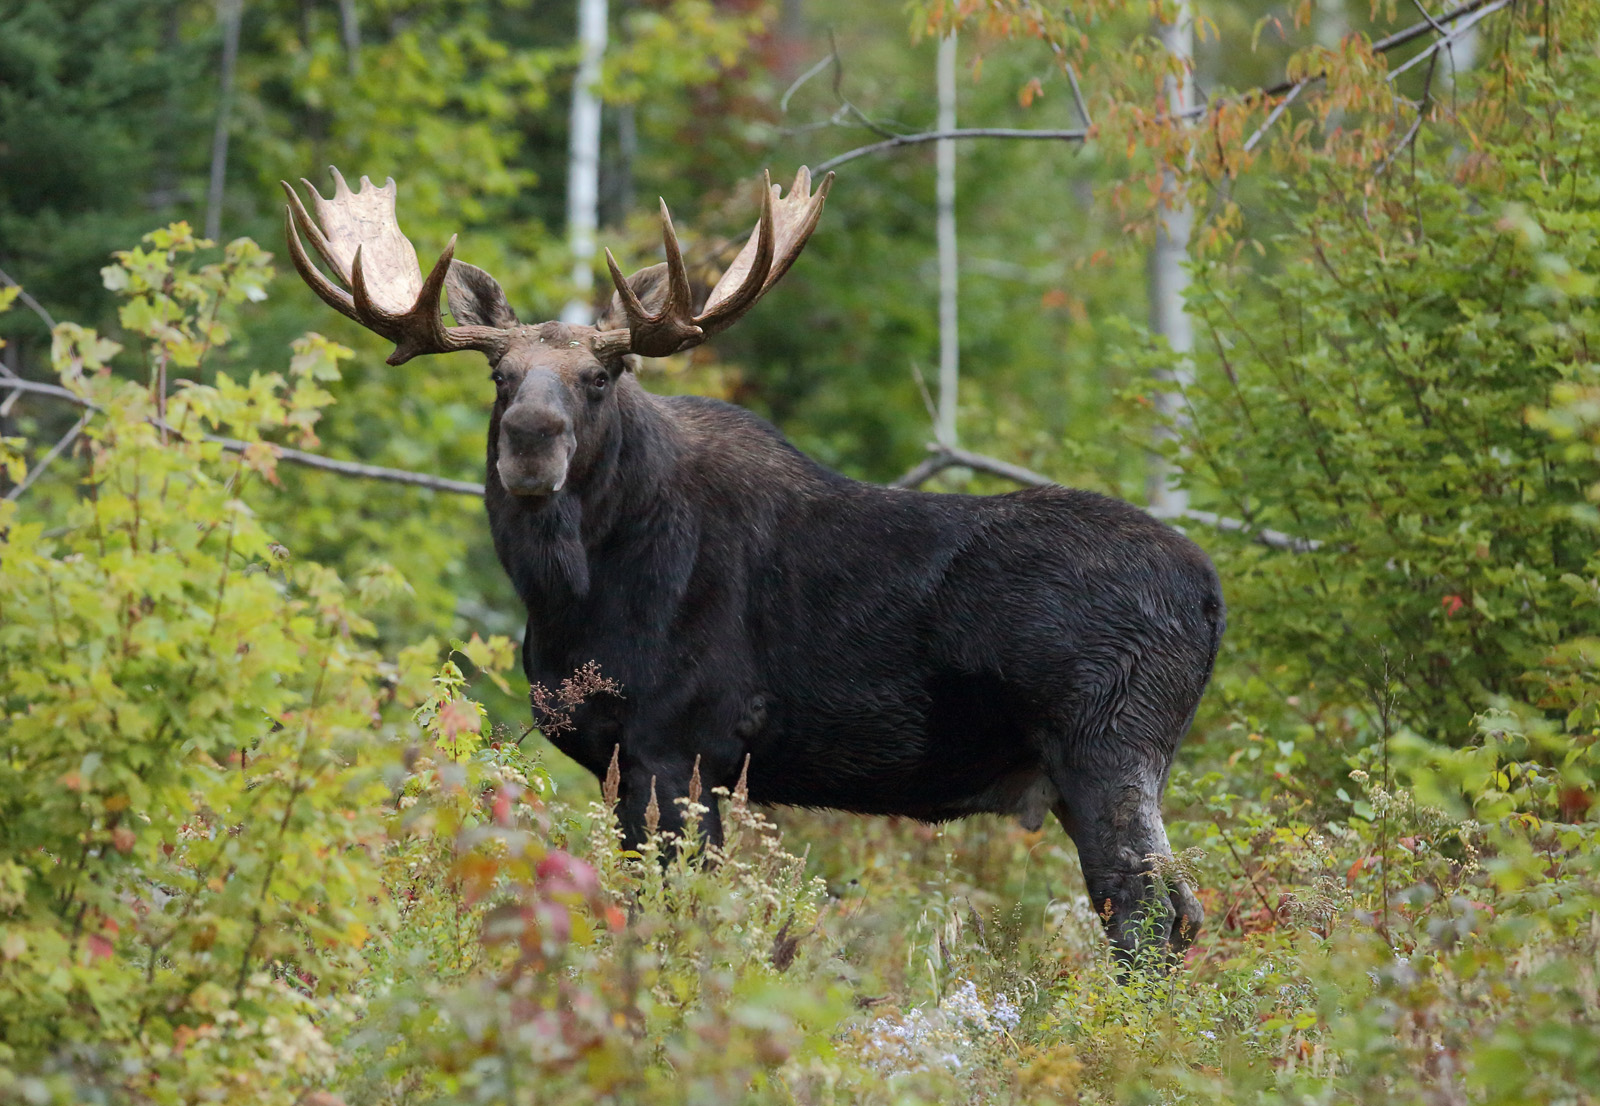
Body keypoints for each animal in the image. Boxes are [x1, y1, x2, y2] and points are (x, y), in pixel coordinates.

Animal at [284, 164, 1222, 960]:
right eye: (499, 376)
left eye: (602, 375)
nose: (530, 438)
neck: (568, 598)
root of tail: (1213, 597)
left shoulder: (683, 742)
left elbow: (673, 910)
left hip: (1108, 742)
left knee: (1148, 913)